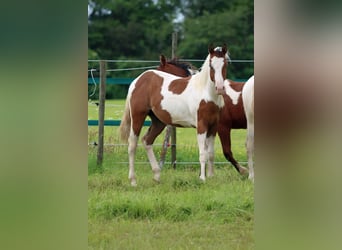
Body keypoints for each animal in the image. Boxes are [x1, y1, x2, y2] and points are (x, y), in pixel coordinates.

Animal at [120, 45, 230, 186]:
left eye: (225, 64)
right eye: (211, 65)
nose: (220, 88)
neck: (206, 93)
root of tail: (137, 81)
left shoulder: (213, 126)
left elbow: (210, 153)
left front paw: (211, 177)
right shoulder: (201, 126)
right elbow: (203, 154)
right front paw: (202, 178)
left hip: (158, 122)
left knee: (147, 140)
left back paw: (157, 175)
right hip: (138, 116)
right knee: (132, 145)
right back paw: (133, 181)